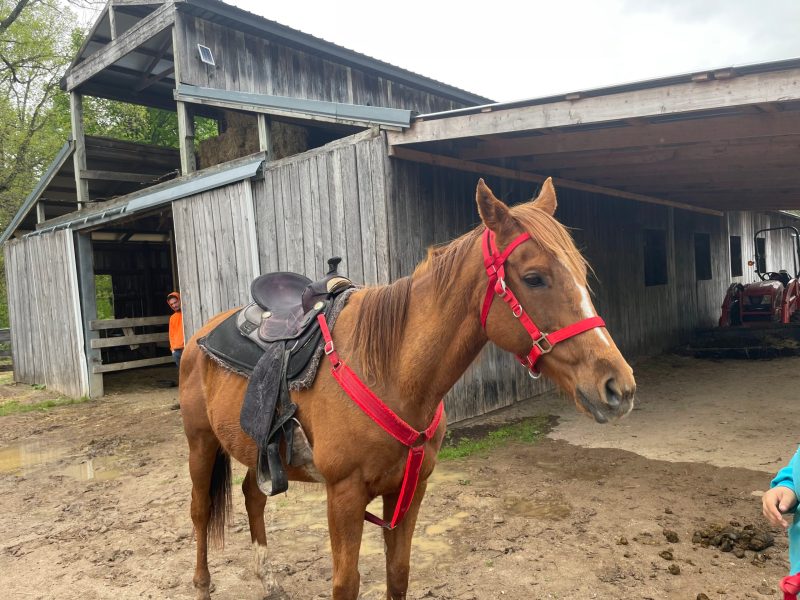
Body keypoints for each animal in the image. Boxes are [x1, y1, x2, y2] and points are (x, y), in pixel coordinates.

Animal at [179, 177, 636, 600]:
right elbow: (346, 584)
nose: (618, 387)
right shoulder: (344, 497)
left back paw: (269, 580)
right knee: (200, 511)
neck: (391, 373)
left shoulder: (410, 491)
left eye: (581, 273)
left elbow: (398, 573)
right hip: (201, 443)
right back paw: (201, 584)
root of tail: (201, 333)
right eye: (535, 277)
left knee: (252, 496)